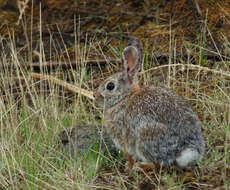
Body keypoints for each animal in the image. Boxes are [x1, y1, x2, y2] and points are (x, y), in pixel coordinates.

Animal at [93, 37, 205, 169]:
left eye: (110, 86)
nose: (94, 95)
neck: (124, 98)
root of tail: (187, 150)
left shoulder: (124, 137)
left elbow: (129, 155)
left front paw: (128, 167)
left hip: (145, 137)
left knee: (156, 164)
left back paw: (140, 166)